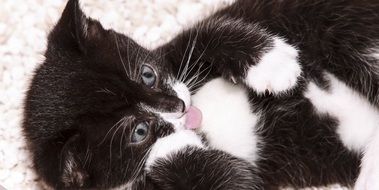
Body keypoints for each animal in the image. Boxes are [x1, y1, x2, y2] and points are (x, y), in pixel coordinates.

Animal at [23, 0, 379, 189]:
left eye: (148, 75)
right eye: (139, 132)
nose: (180, 107)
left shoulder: (172, 55)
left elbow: (207, 31)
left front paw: (273, 64)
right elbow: (229, 178)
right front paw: (166, 149)